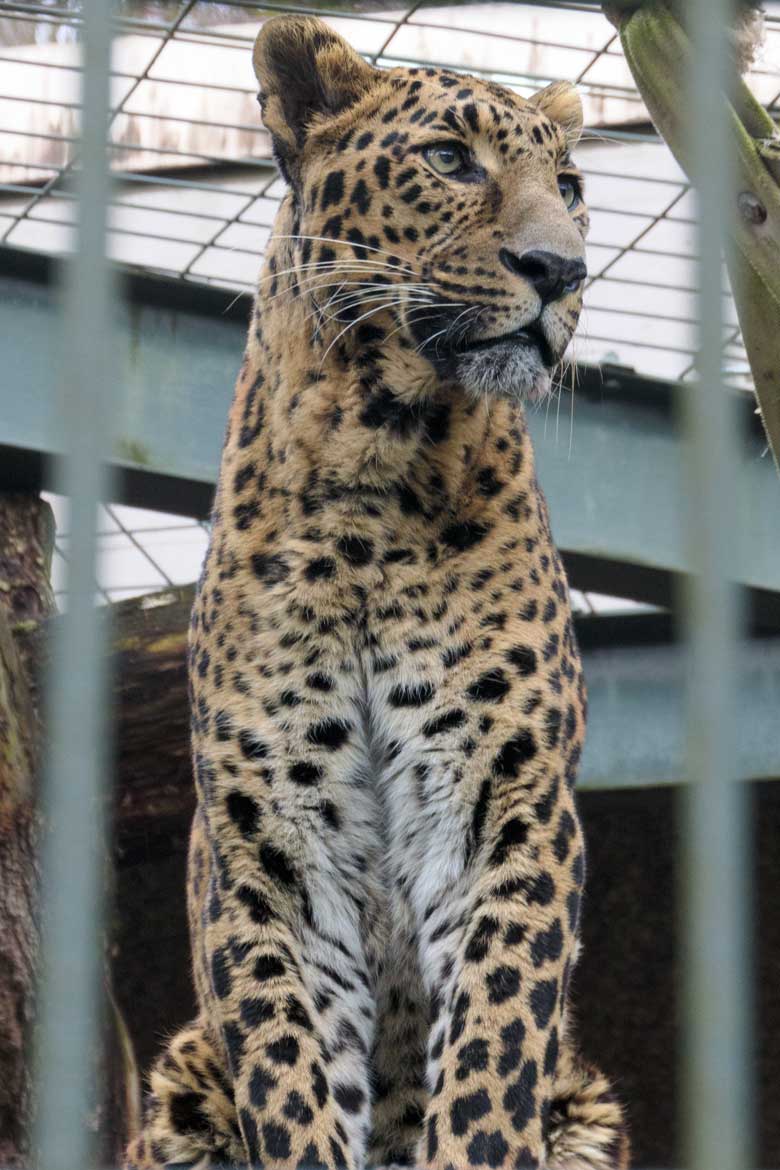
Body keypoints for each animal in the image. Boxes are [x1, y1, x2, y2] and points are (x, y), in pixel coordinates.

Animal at [125, 18, 631, 1170]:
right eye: (451, 159)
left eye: (571, 186)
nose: (563, 270)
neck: (376, 464)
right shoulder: (271, 848)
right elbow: (289, 1073)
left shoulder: (510, 809)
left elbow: (492, 1052)